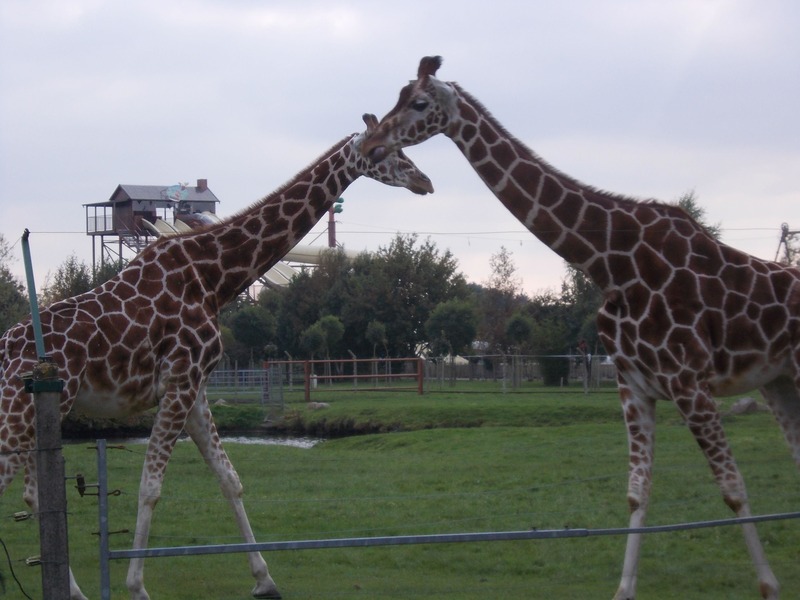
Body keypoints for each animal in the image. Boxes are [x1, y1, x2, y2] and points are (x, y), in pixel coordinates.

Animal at [0, 113, 434, 600]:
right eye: (386, 149)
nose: (425, 181)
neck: (213, 277)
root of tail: (4, 347)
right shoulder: (181, 381)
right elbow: (151, 486)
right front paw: (137, 586)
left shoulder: (195, 389)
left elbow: (230, 479)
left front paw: (265, 579)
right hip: (22, 410)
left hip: (37, 411)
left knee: (32, 492)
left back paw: (72, 590)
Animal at [362, 55, 800, 596]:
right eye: (397, 95)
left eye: (420, 103)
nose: (372, 144)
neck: (611, 261)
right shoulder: (635, 385)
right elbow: (637, 493)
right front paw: (624, 588)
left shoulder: (689, 382)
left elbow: (733, 490)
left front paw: (769, 586)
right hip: (778, 380)